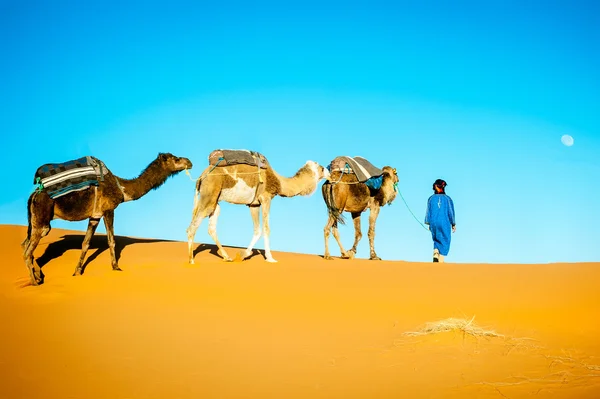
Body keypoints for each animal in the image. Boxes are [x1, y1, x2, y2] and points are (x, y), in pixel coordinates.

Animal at [22, 152, 192, 286]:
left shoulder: (95, 216)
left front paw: (77, 272)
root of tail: (34, 195)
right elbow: (111, 240)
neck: (122, 189)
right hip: (42, 219)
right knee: (28, 250)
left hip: (34, 219)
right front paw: (116, 267)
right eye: (175, 158)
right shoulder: (109, 210)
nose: (189, 162)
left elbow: (86, 243)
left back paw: (38, 276)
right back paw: (35, 282)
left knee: (25, 244)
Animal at [186, 148, 330, 264]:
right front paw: (270, 258)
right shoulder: (266, 198)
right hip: (210, 193)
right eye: (322, 168)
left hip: (214, 200)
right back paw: (191, 260)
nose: (329, 173)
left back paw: (227, 257)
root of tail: (202, 176)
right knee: (192, 227)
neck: (278, 181)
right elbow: (266, 229)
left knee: (211, 226)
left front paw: (244, 255)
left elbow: (257, 230)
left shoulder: (253, 204)